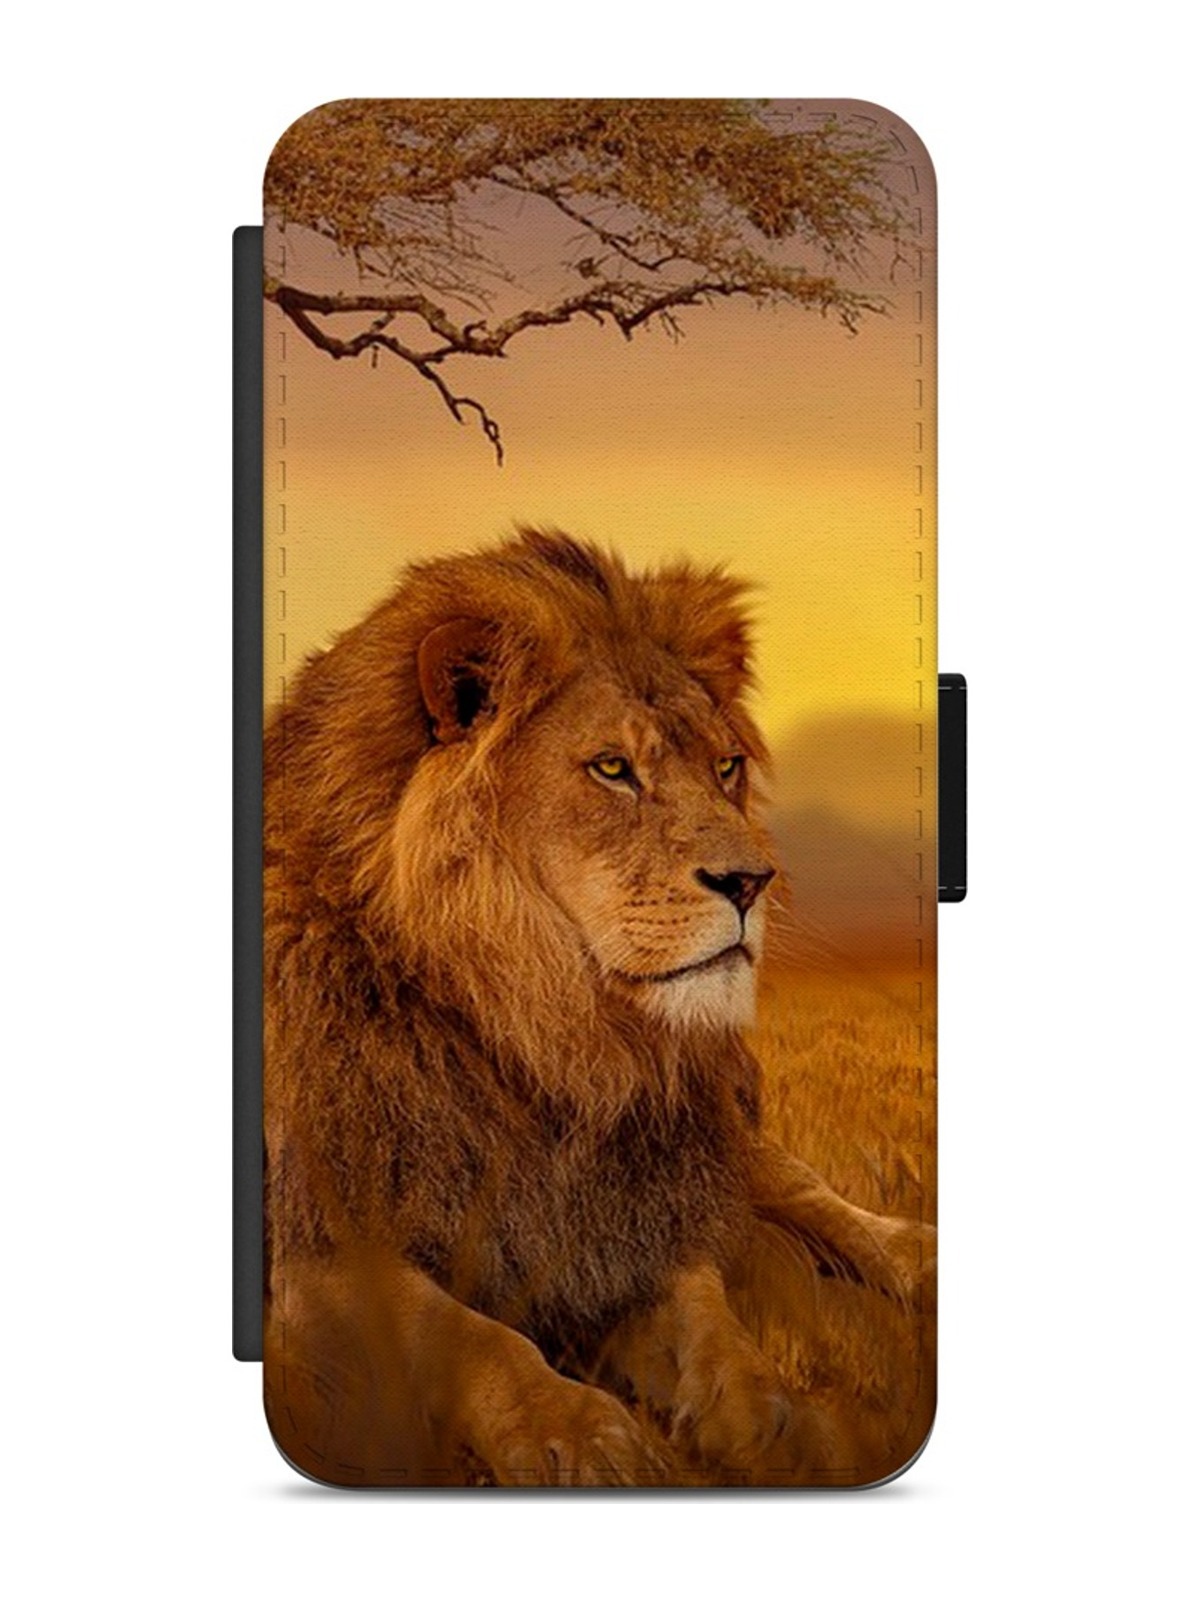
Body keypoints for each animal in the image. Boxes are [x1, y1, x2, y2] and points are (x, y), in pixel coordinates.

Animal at [263, 527, 933, 1486]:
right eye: (614, 769)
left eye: (725, 767)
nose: (753, 882)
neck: (543, 1036)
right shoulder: (310, 1243)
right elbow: (465, 1334)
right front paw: (582, 1434)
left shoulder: (641, 1202)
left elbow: (707, 1313)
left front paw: (768, 1414)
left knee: (808, 1193)